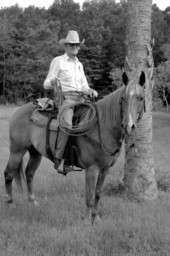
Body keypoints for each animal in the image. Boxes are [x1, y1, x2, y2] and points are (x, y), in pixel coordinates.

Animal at [3, 71, 145, 223]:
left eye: (141, 98)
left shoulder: (105, 169)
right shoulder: (92, 169)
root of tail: (18, 110)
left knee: (29, 173)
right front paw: (87, 221)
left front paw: (96, 218)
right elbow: (89, 196)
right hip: (17, 151)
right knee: (9, 173)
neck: (101, 127)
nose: (128, 125)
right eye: (123, 98)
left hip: (35, 153)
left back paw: (32, 201)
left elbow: (98, 194)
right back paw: (10, 203)